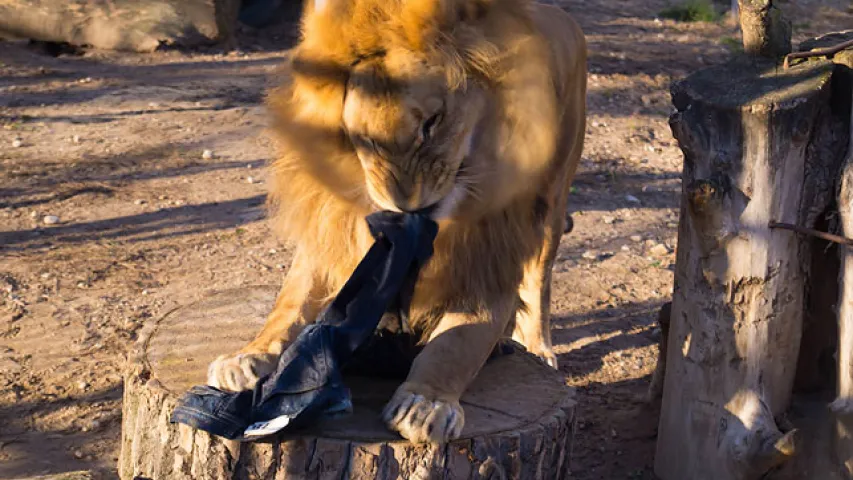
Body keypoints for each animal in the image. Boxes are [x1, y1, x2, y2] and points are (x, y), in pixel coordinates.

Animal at [206, 0, 584, 444]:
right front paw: (249, 355)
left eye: (431, 123)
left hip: (553, 204)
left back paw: (538, 347)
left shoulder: (489, 258)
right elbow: (291, 303)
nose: (407, 205)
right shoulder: (333, 234)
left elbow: (457, 345)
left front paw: (426, 403)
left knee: (540, 280)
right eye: (364, 139)